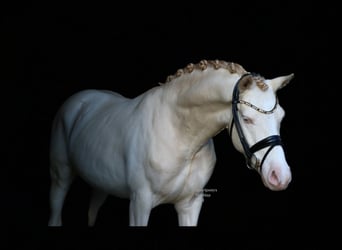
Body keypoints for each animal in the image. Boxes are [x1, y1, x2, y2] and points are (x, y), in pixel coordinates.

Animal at [48, 59, 294, 226]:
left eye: (281, 116)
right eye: (246, 118)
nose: (280, 176)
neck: (180, 135)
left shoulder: (190, 204)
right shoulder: (139, 203)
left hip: (100, 184)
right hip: (60, 177)